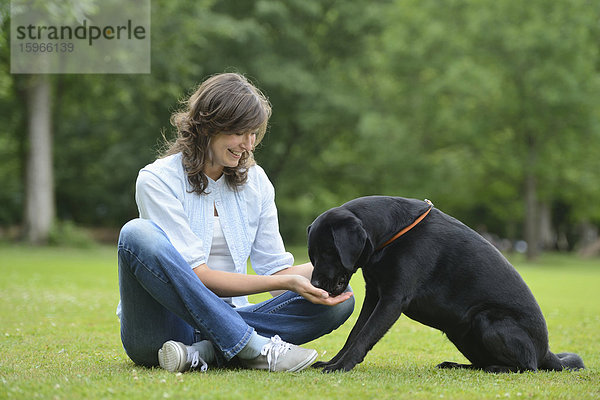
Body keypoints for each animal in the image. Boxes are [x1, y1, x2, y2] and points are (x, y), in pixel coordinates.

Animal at [310, 195, 584, 374]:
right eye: (312, 255)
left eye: (327, 252)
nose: (314, 283)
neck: (390, 235)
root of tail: (546, 352)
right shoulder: (374, 295)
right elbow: (354, 334)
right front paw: (333, 361)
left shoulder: (392, 300)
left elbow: (364, 336)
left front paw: (341, 366)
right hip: (458, 330)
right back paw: (455, 365)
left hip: (487, 319)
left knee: (527, 367)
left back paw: (495, 368)